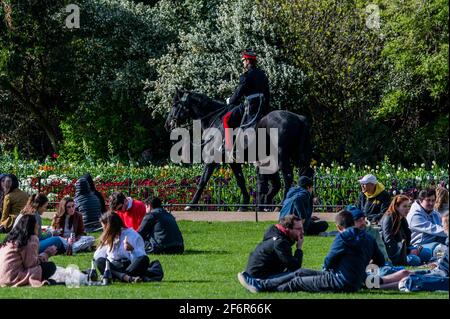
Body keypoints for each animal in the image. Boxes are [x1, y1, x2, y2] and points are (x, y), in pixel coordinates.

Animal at [165, 89, 312, 211]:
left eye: (174, 104)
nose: (167, 124)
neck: (215, 120)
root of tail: (299, 117)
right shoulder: (234, 162)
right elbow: (241, 181)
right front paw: (246, 204)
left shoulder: (212, 159)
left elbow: (203, 181)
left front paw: (191, 204)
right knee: (302, 176)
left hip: (282, 157)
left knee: (288, 177)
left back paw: (281, 204)